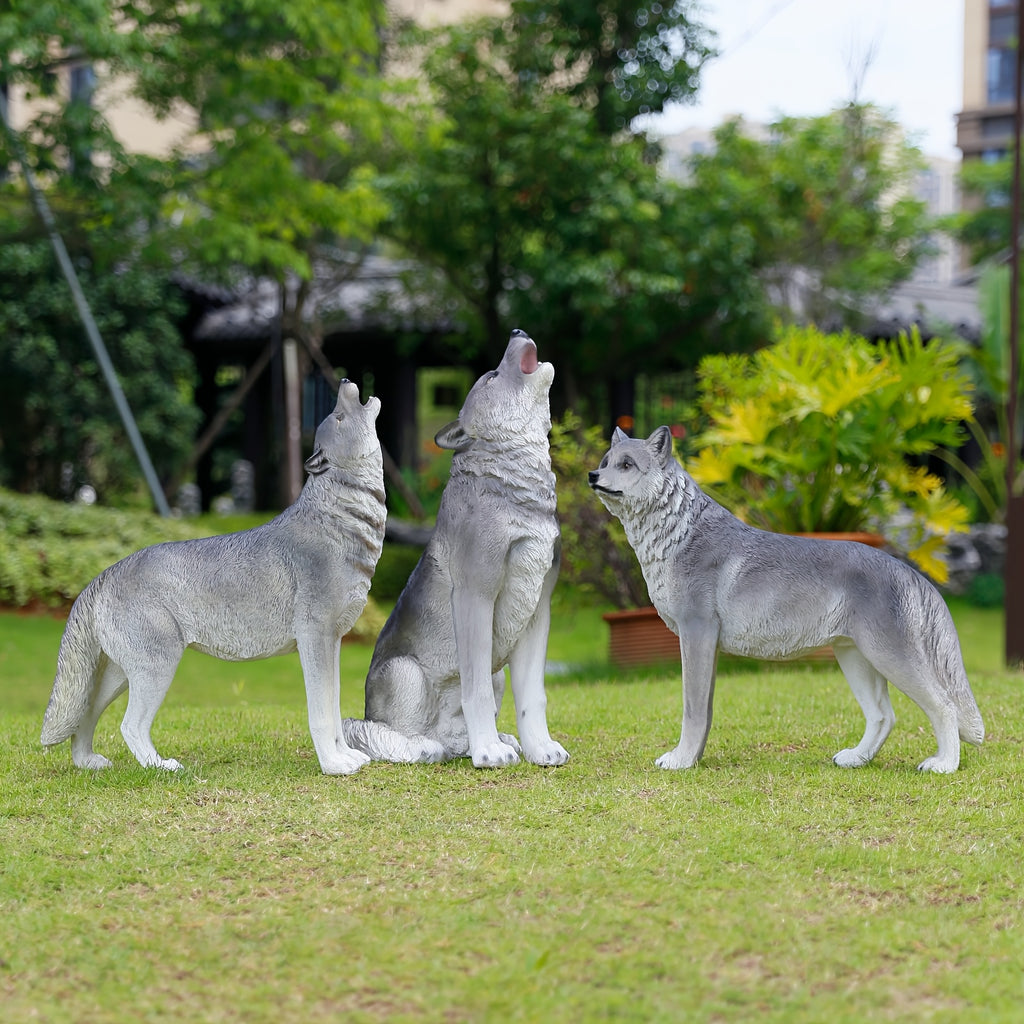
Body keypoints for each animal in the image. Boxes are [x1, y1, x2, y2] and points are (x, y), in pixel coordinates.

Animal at [40, 380, 386, 776]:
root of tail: (105, 574)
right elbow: (323, 714)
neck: (339, 519)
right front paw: (333, 765)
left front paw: (347, 757)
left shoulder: (334, 642)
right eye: (339, 416)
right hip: (156, 668)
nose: (344, 382)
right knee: (130, 725)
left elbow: (336, 707)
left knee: (86, 715)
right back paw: (162, 767)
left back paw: (88, 763)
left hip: (120, 673)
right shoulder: (316, 638)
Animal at [342, 329, 569, 769]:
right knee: (381, 733)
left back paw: (482, 741)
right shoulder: (475, 596)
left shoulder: (538, 609)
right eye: (493, 375)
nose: (516, 331)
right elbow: (474, 691)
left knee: (449, 733)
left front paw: (541, 750)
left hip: (496, 674)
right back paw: (431, 746)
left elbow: (534, 696)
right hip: (406, 673)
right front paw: (489, 755)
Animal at [589, 426, 984, 773]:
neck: (678, 533)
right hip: (856, 658)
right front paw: (694, 760)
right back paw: (856, 759)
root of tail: (906, 569)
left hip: (890, 657)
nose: (593, 475)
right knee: (883, 716)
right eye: (606, 461)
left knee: (944, 706)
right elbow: (705, 711)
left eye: (627, 465)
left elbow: (693, 710)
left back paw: (944, 765)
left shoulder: (696, 633)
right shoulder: (705, 644)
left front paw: (680, 761)